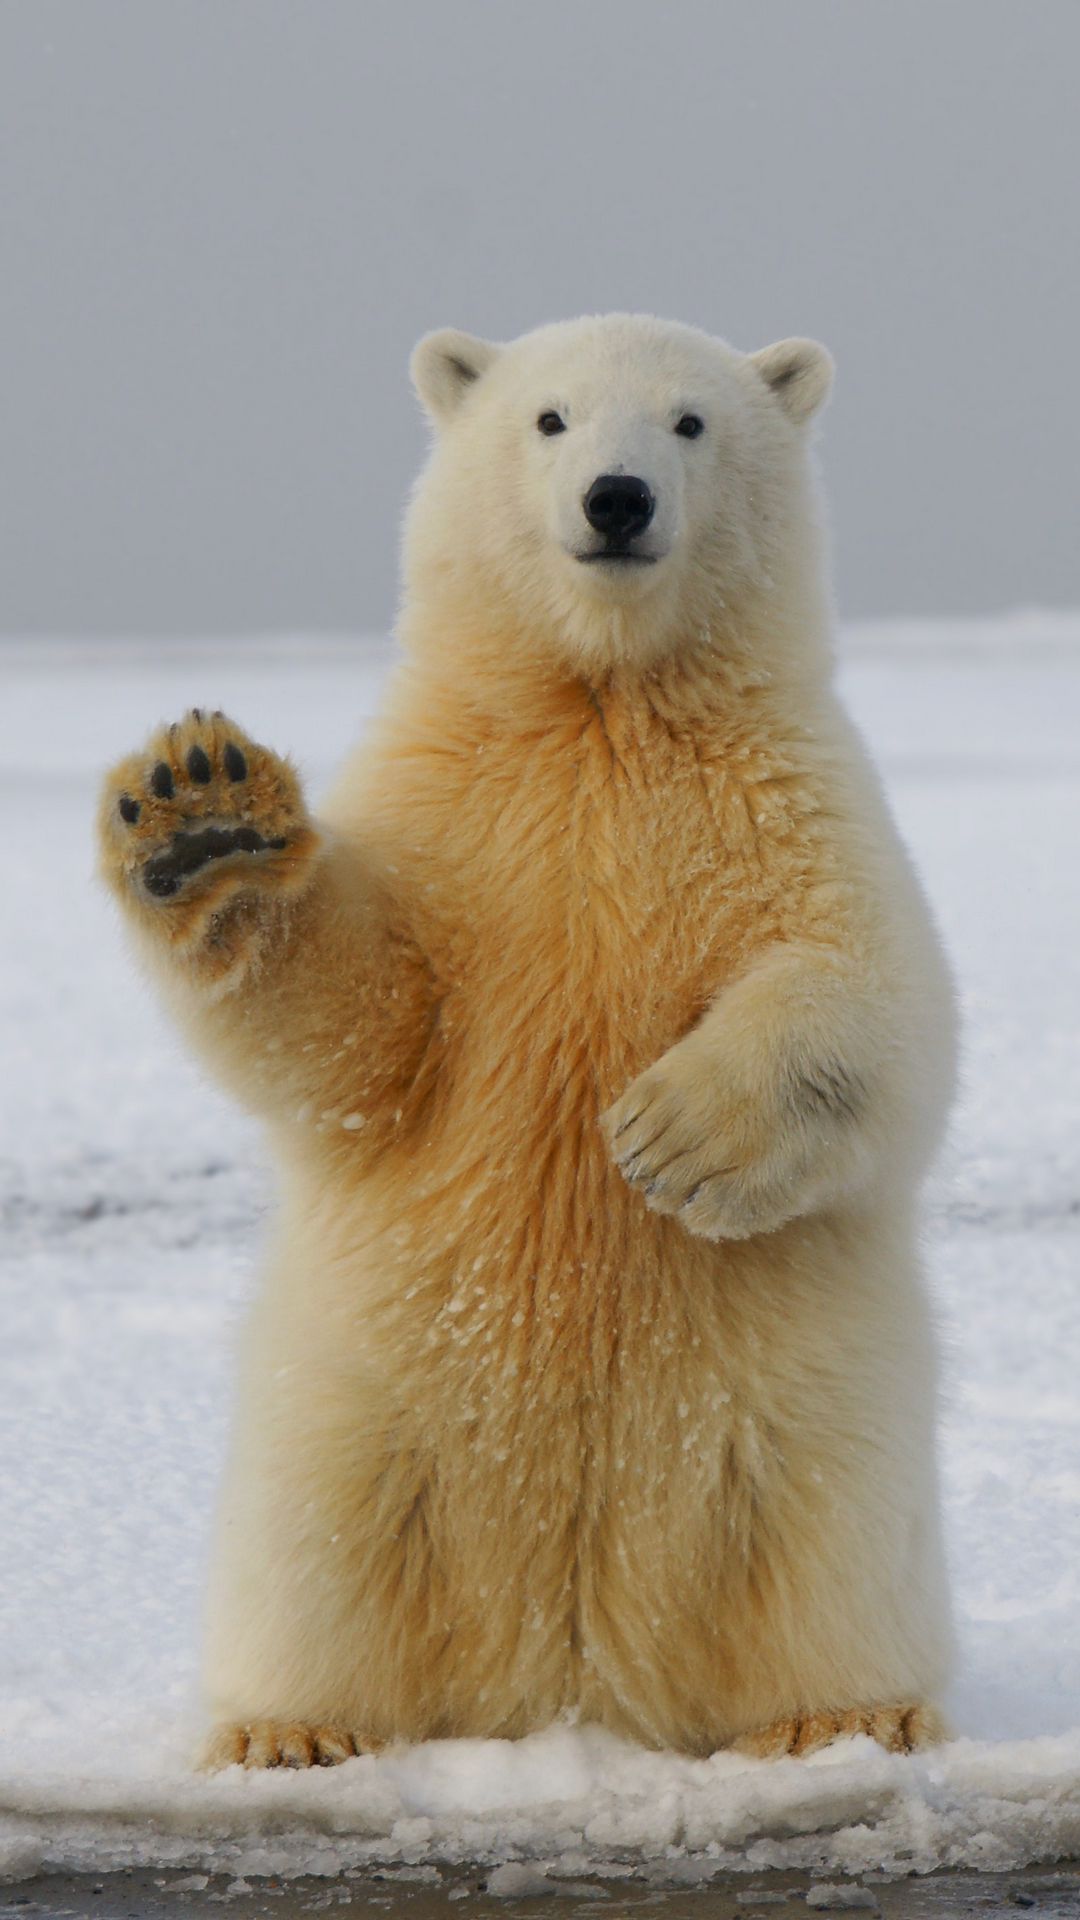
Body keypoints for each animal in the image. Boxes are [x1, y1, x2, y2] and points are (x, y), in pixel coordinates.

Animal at [97, 314, 956, 1770]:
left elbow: (877, 998)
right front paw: (203, 817)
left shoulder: (788, 796)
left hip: (808, 1415)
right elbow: (364, 1031)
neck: (601, 703)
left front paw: (670, 1137)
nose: (617, 500)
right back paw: (291, 1730)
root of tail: (569, 1679)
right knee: (319, 1549)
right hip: (358, 1406)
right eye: (549, 418)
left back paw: (849, 1714)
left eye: (689, 422)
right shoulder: (455, 813)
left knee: (826, 1543)